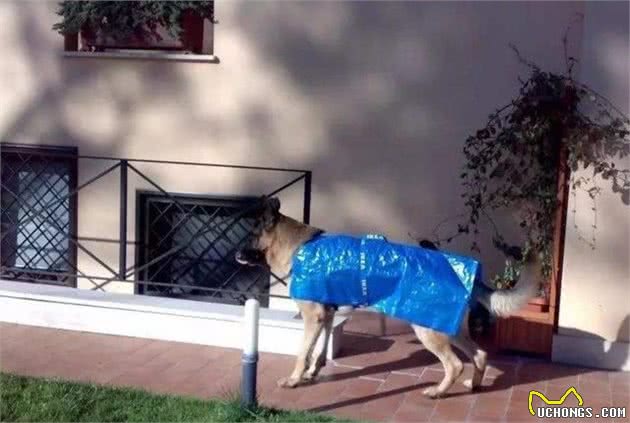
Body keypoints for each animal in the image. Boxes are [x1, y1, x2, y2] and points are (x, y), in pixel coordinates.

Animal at [235, 197, 540, 400]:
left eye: (250, 236)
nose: (235, 254)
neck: (298, 246)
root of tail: (465, 273)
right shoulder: (327, 315)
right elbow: (319, 350)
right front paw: (312, 373)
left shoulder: (314, 316)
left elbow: (302, 353)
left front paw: (295, 379)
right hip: (448, 326)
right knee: (479, 355)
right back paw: (474, 385)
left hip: (428, 329)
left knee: (454, 365)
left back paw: (438, 391)